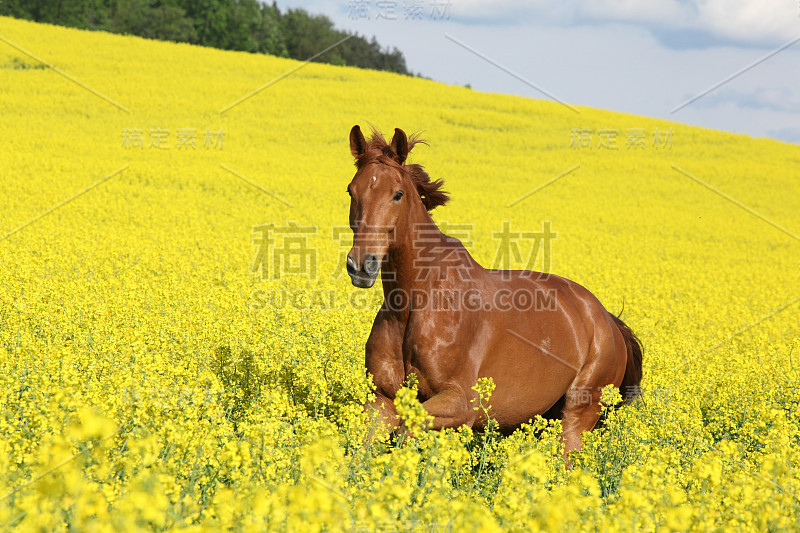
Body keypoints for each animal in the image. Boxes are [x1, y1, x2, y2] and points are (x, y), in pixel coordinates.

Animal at [346, 123, 644, 458]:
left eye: (397, 194)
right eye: (351, 191)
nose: (362, 265)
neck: (416, 301)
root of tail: (607, 320)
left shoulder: (460, 404)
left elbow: (405, 434)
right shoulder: (381, 401)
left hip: (577, 417)